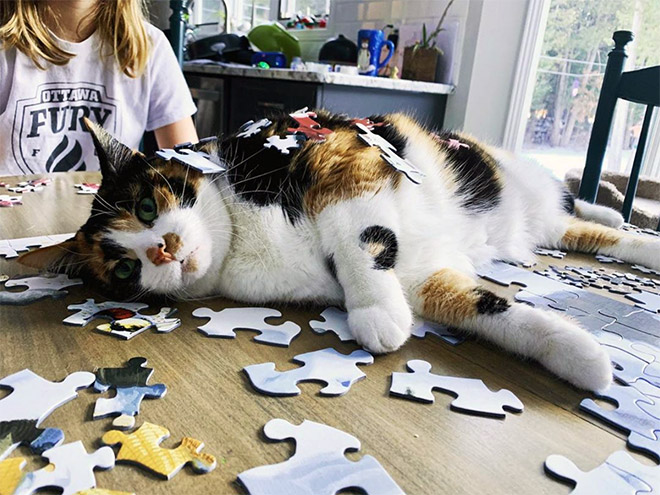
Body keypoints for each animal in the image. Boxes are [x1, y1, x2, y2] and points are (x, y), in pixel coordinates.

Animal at [19, 110, 660, 394]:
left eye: (149, 208)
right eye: (125, 268)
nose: (164, 248)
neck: (240, 236)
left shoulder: (346, 163)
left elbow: (362, 244)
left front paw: (374, 314)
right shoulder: (422, 277)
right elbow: (486, 308)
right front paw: (580, 355)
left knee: (582, 212)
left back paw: (617, 214)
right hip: (541, 228)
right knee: (582, 232)